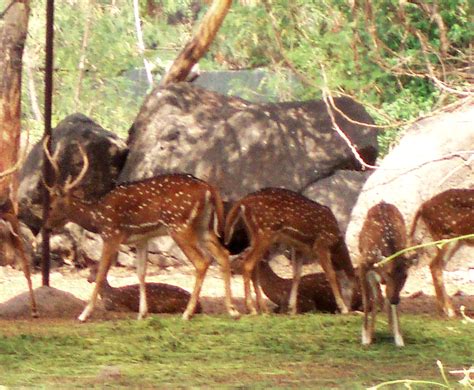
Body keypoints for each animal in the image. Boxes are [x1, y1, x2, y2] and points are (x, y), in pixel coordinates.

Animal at [42, 139, 239, 322]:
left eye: (51, 206)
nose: (46, 226)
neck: (97, 217)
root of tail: (208, 188)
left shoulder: (111, 234)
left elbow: (101, 272)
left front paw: (84, 314)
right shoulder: (141, 239)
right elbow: (141, 273)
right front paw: (142, 313)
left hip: (179, 225)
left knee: (202, 261)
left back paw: (187, 313)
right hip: (203, 226)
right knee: (222, 254)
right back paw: (232, 310)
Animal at [225, 187, 356, 316]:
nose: (355, 307)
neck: (337, 243)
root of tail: (243, 202)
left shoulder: (299, 248)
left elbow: (296, 276)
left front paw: (292, 309)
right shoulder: (321, 244)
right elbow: (331, 274)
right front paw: (343, 308)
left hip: (254, 234)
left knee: (254, 266)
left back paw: (260, 310)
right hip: (266, 232)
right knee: (248, 264)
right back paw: (251, 309)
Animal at [360, 201, 414, 348]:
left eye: (405, 276)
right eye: (389, 273)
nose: (395, 299)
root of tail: (382, 202)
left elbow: (389, 302)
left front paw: (399, 338)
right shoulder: (362, 265)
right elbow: (367, 300)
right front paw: (365, 337)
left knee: (381, 298)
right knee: (376, 297)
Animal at [410, 187, 472, 318]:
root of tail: (423, 206)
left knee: (435, 265)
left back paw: (442, 310)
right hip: (446, 236)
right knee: (435, 265)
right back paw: (449, 311)